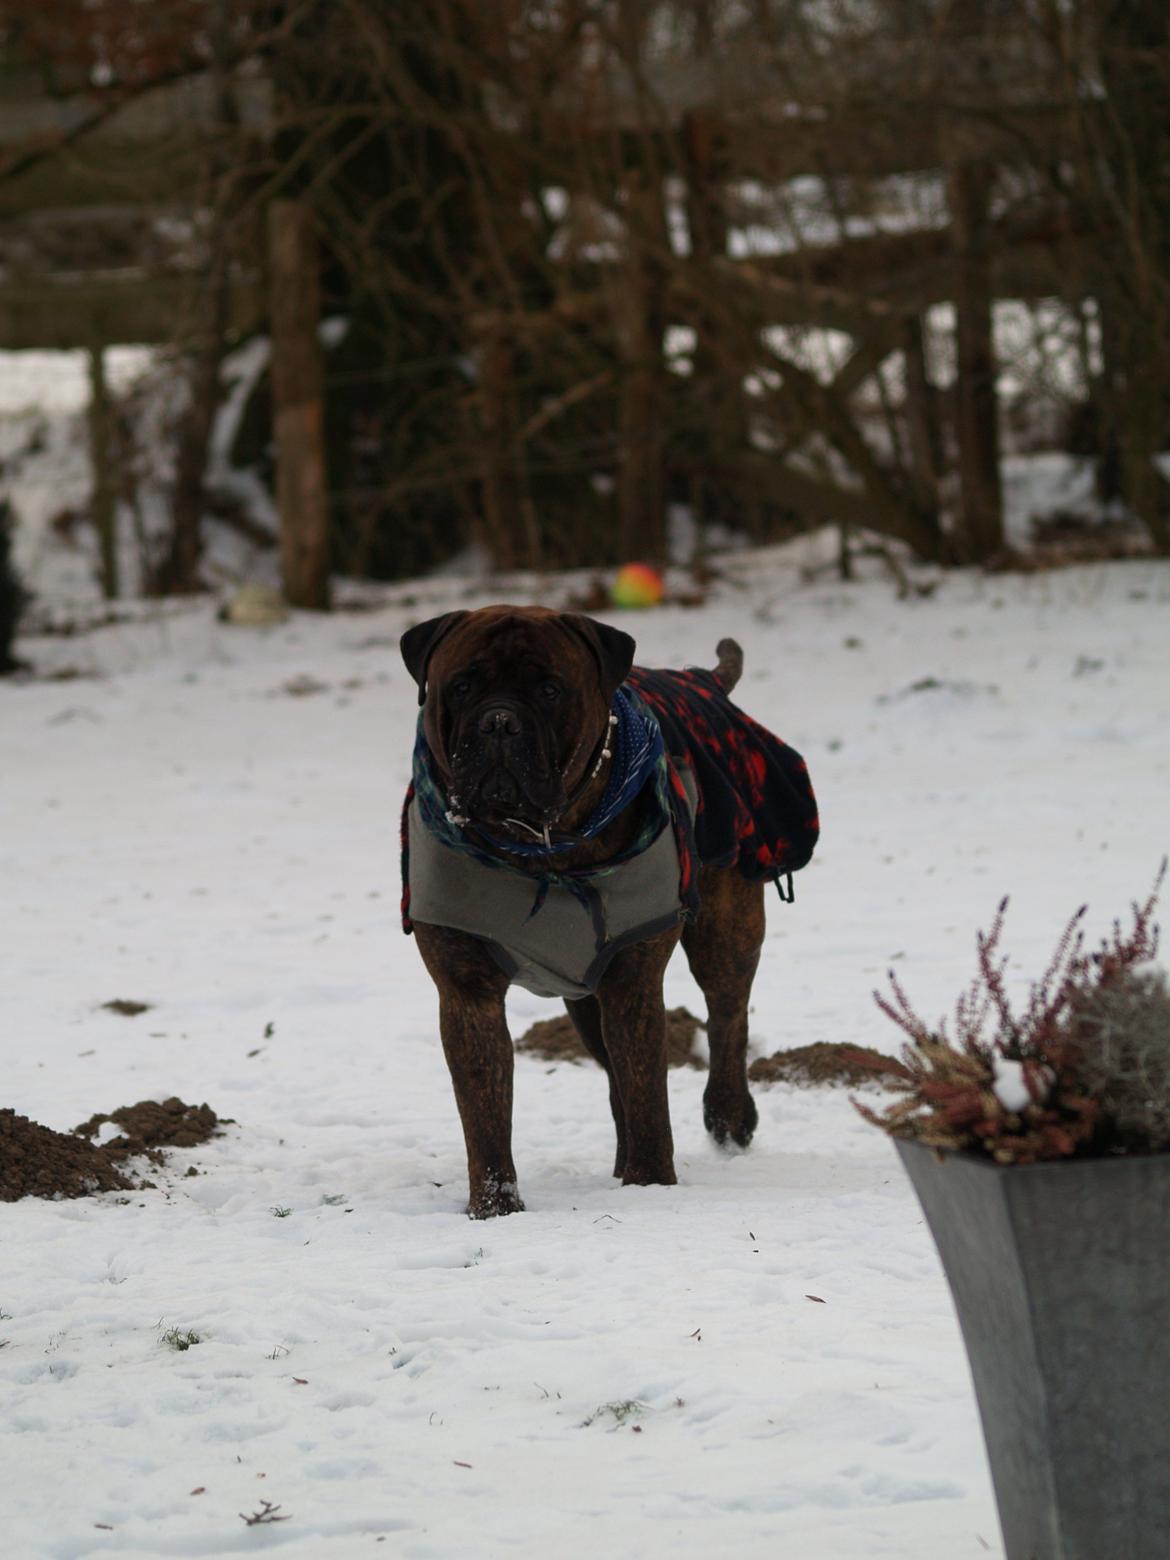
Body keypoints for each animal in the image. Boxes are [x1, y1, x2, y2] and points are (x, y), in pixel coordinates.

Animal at [402, 608, 798, 1216]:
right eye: (462, 686)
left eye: (549, 689)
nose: (499, 722)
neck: (540, 844)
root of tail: (704, 680)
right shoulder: (467, 993)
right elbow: (485, 1115)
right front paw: (494, 1209)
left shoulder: (633, 981)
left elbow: (647, 1093)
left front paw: (651, 1186)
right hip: (585, 999)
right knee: (614, 1075)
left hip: (724, 929)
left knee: (727, 1015)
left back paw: (729, 1116)